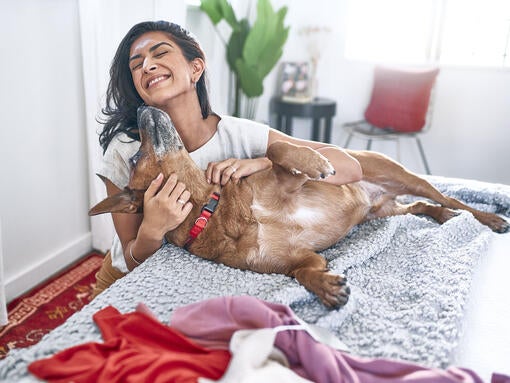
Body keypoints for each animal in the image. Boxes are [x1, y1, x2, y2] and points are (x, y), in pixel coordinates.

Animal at [89, 107, 508, 308]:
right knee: (422, 206)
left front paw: (315, 162)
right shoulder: (298, 259)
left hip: (401, 175)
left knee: (448, 197)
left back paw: (489, 217)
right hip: (386, 212)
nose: (142, 106)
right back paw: (444, 217)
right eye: (136, 156)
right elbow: (303, 273)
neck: (215, 212)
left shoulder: (288, 180)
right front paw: (326, 287)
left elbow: (277, 148)